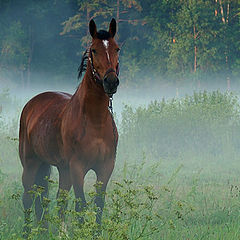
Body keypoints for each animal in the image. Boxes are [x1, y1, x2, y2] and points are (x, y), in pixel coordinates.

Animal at [18, 18, 119, 234]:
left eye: (117, 48)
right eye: (94, 50)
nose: (111, 82)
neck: (95, 122)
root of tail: (32, 104)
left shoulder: (105, 167)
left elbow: (98, 205)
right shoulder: (77, 167)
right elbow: (81, 205)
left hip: (61, 168)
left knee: (55, 200)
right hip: (31, 164)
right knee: (29, 197)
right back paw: (27, 233)